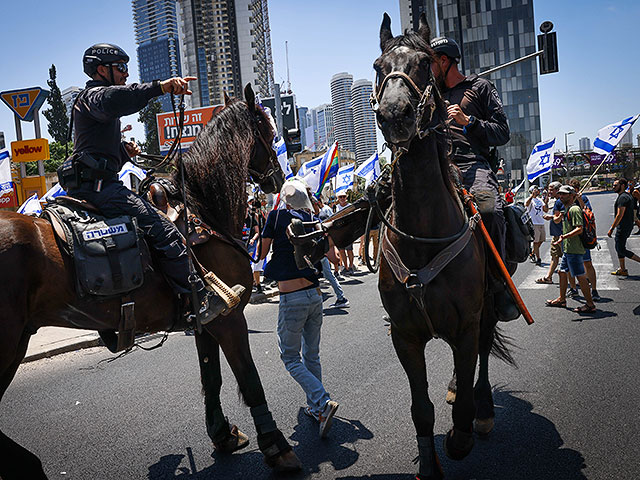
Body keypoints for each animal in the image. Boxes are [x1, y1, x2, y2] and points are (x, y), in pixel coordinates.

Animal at [0, 84, 302, 478]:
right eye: (268, 130)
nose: (279, 178)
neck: (202, 208)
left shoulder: (204, 321)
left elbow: (212, 378)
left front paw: (223, 435)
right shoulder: (229, 318)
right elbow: (250, 382)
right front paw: (277, 447)